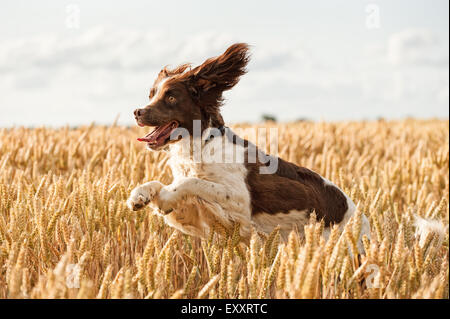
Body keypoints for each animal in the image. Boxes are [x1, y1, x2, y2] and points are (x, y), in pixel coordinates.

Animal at [125, 43, 370, 250]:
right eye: (152, 95)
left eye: (171, 97)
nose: (137, 112)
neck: (201, 146)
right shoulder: (199, 215)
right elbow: (162, 184)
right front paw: (140, 196)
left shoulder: (238, 201)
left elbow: (190, 182)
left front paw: (164, 196)